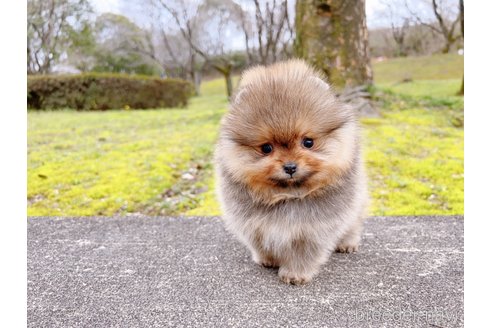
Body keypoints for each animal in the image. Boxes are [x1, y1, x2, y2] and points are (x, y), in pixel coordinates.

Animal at [213, 59, 368, 284]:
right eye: (266, 148)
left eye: (308, 142)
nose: (290, 167)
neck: (288, 195)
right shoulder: (254, 225)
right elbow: (261, 243)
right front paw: (268, 260)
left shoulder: (312, 230)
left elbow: (302, 253)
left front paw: (295, 274)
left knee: (353, 222)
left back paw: (347, 243)